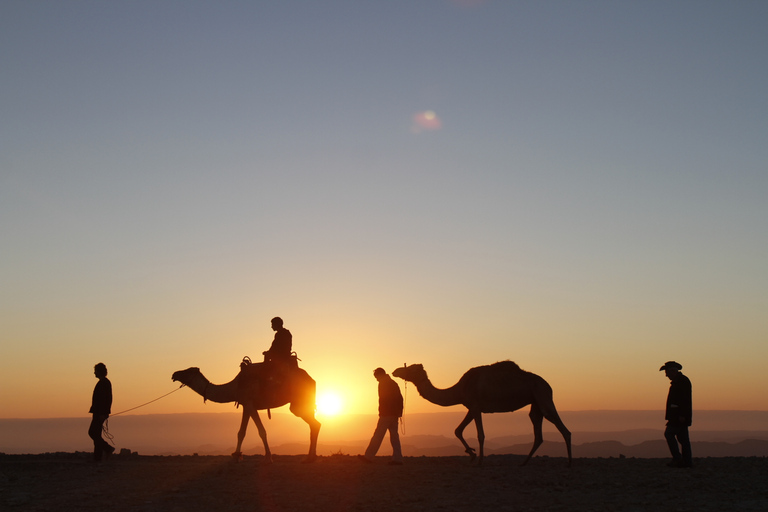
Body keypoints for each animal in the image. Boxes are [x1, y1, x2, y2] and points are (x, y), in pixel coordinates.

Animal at [172, 366, 320, 462]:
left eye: (187, 371)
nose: (174, 374)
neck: (234, 387)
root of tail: (312, 379)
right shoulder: (246, 405)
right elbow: (241, 432)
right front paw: (237, 455)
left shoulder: (250, 404)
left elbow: (261, 431)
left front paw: (268, 457)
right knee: (315, 424)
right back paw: (310, 457)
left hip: (298, 402)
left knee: (314, 423)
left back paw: (310, 457)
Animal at [396, 362, 568, 466]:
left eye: (410, 368)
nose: (395, 370)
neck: (459, 389)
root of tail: (548, 385)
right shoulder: (471, 408)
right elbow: (458, 430)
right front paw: (471, 454)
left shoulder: (475, 406)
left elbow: (480, 434)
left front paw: (479, 460)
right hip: (536, 403)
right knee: (538, 432)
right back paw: (524, 462)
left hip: (543, 395)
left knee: (563, 428)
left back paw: (570, 463)